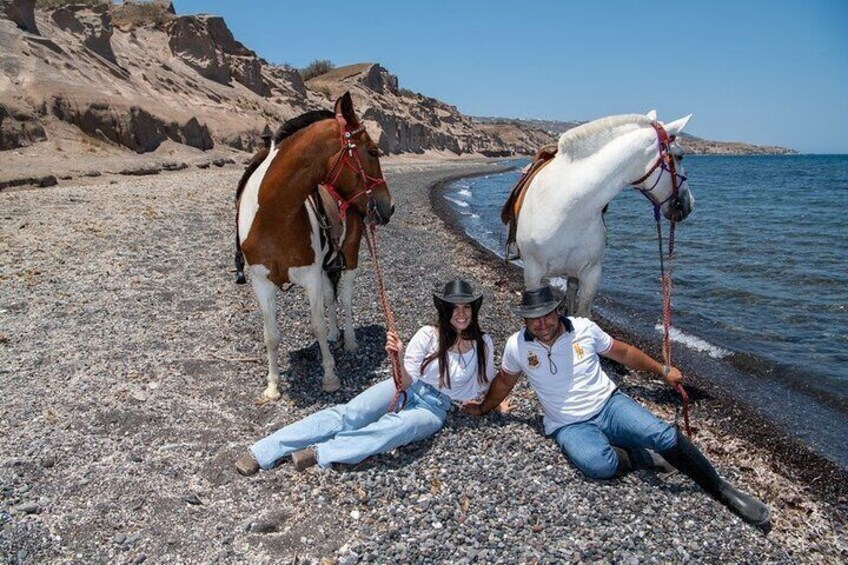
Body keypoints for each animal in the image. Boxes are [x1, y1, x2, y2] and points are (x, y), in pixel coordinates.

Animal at [235, 92, 394, 398]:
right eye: (372, 152)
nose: (388, 206)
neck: (273, 215)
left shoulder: (310, 277)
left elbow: (316, 324)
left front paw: (330, 376)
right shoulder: (261, 282)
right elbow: (270, 335)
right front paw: (273, 386)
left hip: (350, 255)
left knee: (345, 297)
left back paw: (350, 340)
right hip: (326, 266)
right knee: (332, 298)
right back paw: (335, 334)